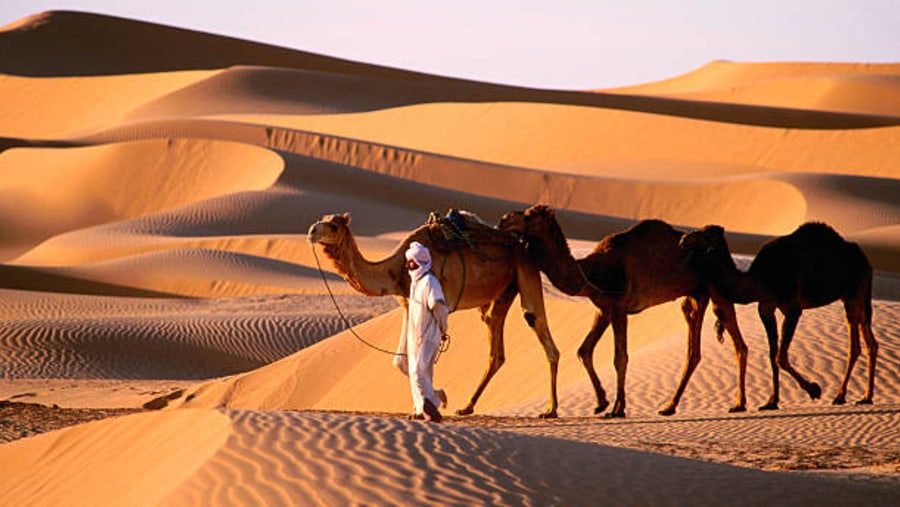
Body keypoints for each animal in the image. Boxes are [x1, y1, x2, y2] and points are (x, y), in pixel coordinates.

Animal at [310, 212, 564, 418]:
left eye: (333, 225)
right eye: (322, 218)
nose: (312, 231)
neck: (396, 269)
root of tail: (522, 242)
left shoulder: (436, 302)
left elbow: (423, 357)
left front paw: (436, 399)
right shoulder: (408, 304)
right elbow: (401, 360)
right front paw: (426, 403)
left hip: (526, 270)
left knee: (538, 325)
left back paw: (550, 409)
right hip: (504, 291)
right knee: (496, 348)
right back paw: (467, 407)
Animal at [502, 204, 748, 418]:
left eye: (530, 215)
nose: (505, 219)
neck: (589, 272)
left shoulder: (619, 306)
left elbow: (620, 357)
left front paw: (617, 409)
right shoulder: (604, 308)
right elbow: (584, 350)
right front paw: (601, 402)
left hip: (715, 287)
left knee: (732, 339)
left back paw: (736, 404)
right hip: (696, 293)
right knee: (697, 350)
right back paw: (672, 406)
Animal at [676, 224, 880, 410]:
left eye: (705, 234)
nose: (683, 239)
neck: (757, 279)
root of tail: (865, 260)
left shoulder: (792, 308)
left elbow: (780, 356)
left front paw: (814, 389)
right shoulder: (766, 307)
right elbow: (772, 354)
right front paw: (771, 401)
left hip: (853, 294)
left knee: (854, 346)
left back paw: (840, 396)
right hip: (857, 297)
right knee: (871, 342)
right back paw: (866, 397)